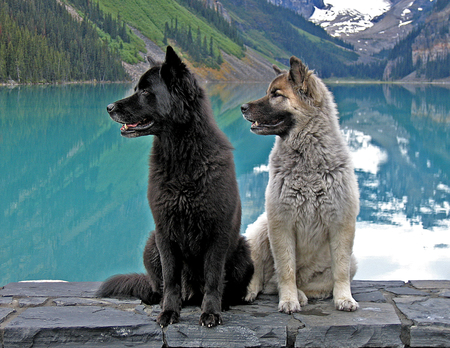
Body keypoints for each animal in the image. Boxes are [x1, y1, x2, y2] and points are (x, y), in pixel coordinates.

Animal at [98, 47, 253, 328]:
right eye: (136, 88)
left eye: (146, 92)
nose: (109, 107)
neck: (181, 158)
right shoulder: (165, 232)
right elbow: (171, 280)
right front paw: (169, 311)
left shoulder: (217, 235)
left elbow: (213, 278)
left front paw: (211, 312)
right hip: (151, 244)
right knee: (160, 287)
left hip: (243, 252)